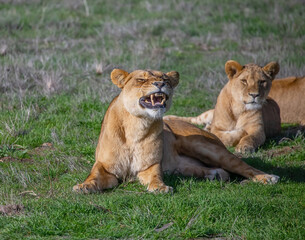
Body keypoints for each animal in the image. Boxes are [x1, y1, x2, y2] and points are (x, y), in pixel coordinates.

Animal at [73, 68, 278, 193]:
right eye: (141, 79)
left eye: (164, 78)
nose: (160, 84)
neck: (136, 126)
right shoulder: (105, 167)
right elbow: (93, 176)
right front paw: (83, 187)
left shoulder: (150, 166)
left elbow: (155, 177)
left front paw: (160, 188)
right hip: (183, 166)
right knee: (216, 171)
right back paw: (215, 175)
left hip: (205, 147)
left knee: (243, 166)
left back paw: (268, 177)